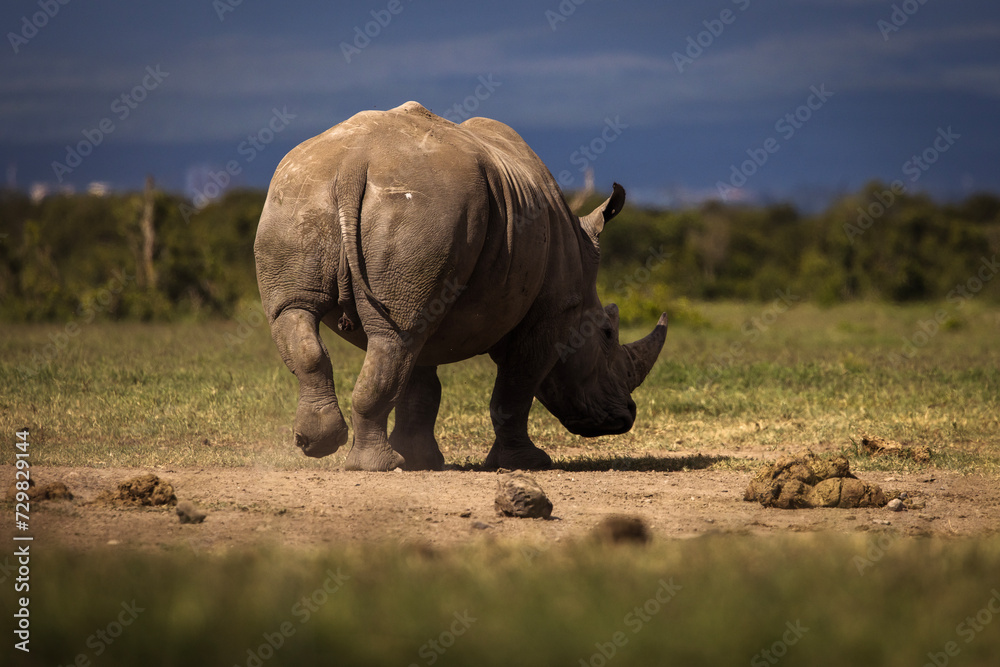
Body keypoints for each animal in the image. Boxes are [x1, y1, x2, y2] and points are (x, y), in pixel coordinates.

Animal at [254, 101, 668, 471]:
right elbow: (516, 389)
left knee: (303, 315)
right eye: (607, 333)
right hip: (420, 208)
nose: (625, 417)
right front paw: (529, 463)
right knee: (393, 337)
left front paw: (422, 462)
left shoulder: (429, 294)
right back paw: (376, 466)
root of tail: (354, 165)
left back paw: (319, 444)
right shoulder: (551, 314)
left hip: (301, 197)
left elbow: (421, 387)